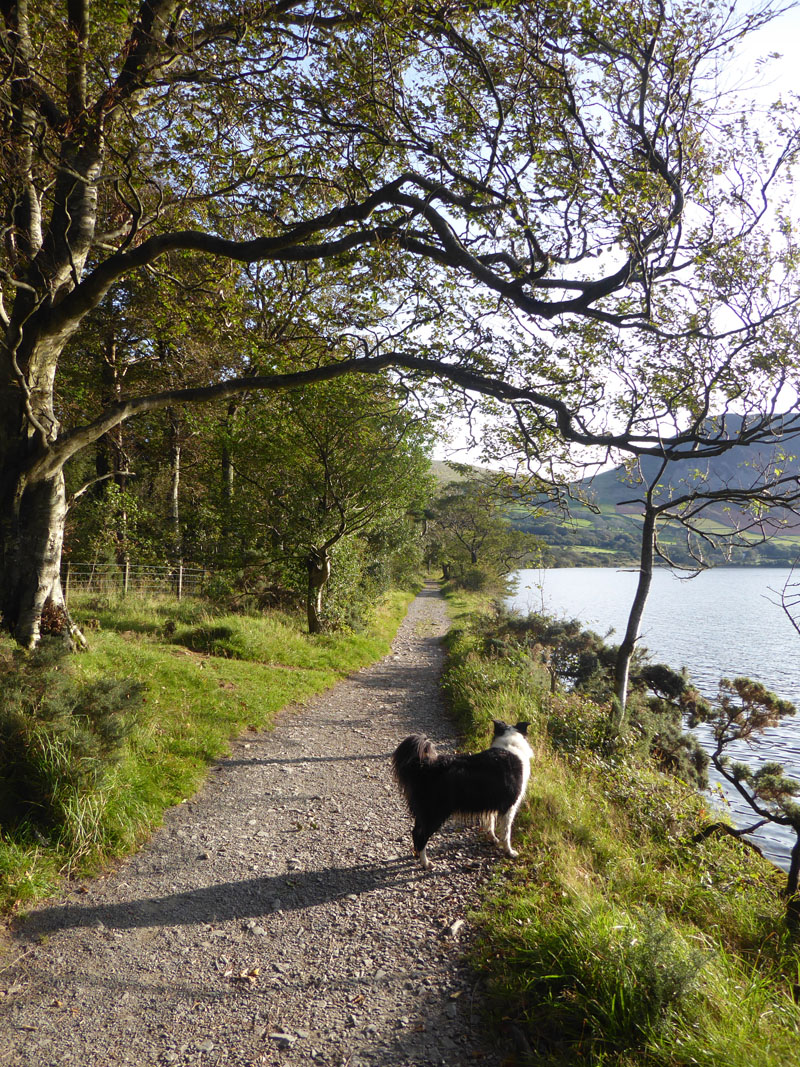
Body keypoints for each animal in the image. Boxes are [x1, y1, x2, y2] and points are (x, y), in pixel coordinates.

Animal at [392, 721, 533, 870]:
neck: (510, 745)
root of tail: (423, 766)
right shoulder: (509, 806)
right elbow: (506, 832)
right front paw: (509, 851)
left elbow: (490, 823)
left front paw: (493, 838)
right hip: (435, 813)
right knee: (421, 836)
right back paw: (426, 862)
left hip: (424, 812)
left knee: (415, 832)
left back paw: (417, 855)